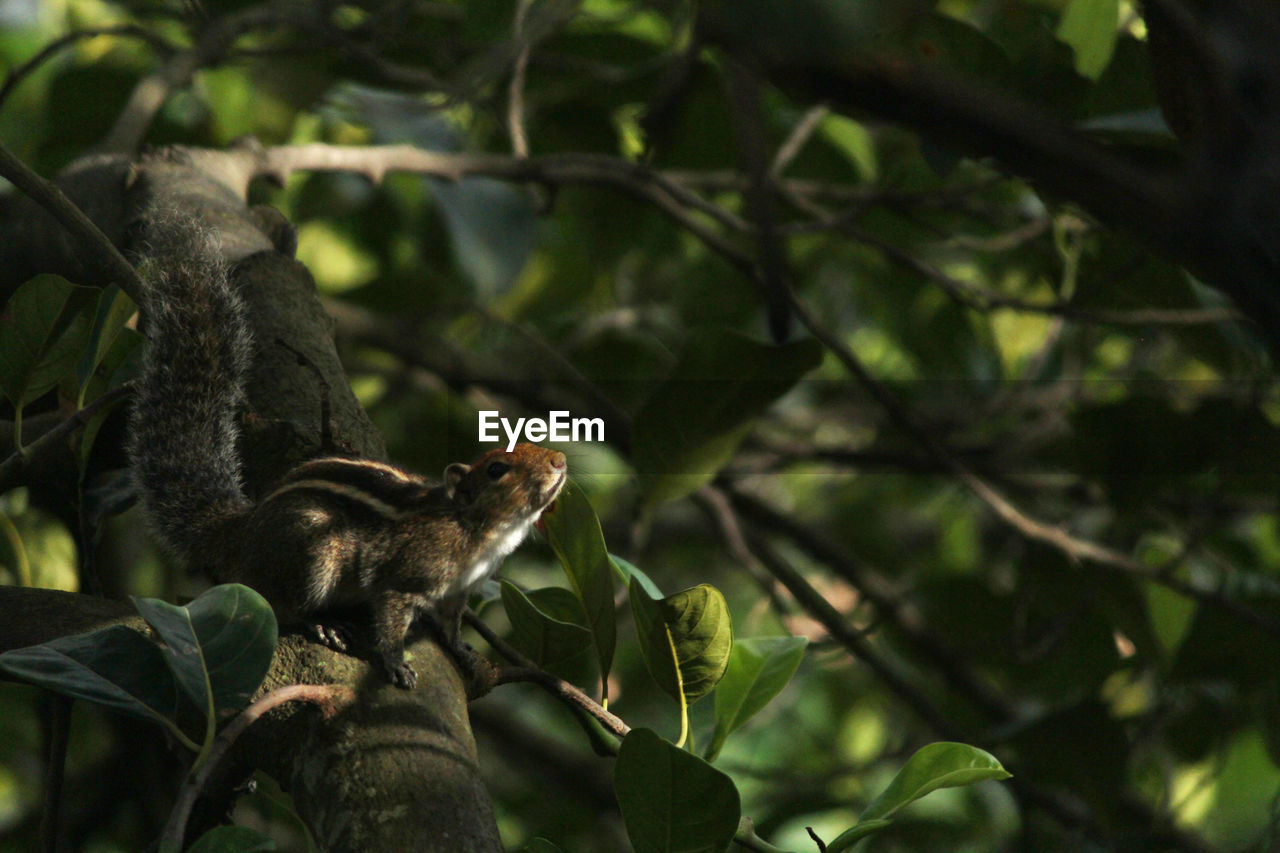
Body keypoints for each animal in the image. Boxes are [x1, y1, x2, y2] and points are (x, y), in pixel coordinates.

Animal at [127, 216, 568, 686]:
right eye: (497, 468)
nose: (560, 460)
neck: (481, 530)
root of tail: (241, 533)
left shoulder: (459, 592)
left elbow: (451, 624)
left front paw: (462, 650)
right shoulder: (405, 576)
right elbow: (390, 617)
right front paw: (395, 662)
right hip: (312, 551)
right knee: (279, 604)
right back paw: (320, 623)